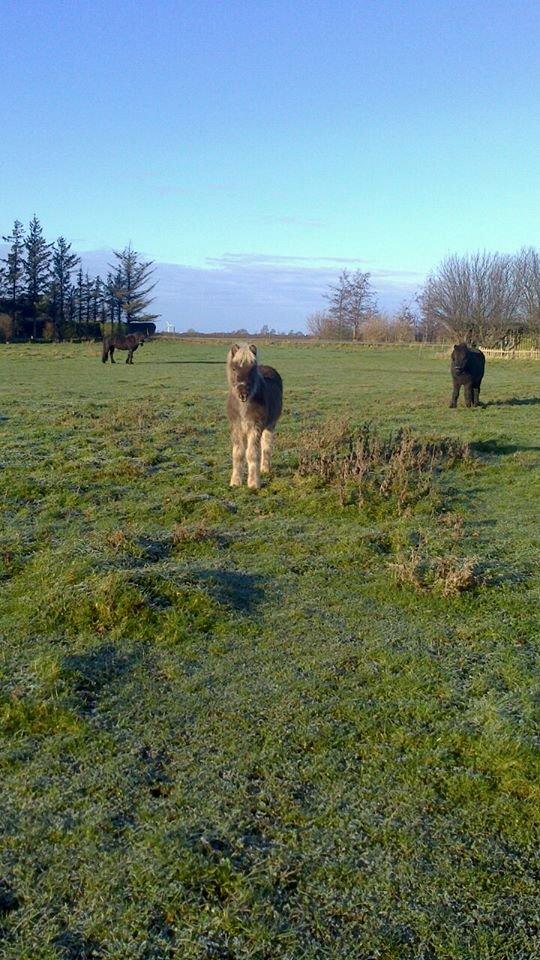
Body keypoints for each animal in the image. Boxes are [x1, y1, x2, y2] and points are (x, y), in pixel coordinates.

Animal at [225, 344, 282, 492]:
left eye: (251, 370)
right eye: (234, 368)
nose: (243, 394)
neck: (243, 407)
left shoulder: (255, 427)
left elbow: (252, 453)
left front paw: (253, 483)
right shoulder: (236, 428)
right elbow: (238, 453)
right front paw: (235, 481)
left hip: (270, 425)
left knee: (266, 446)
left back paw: (265, 469)